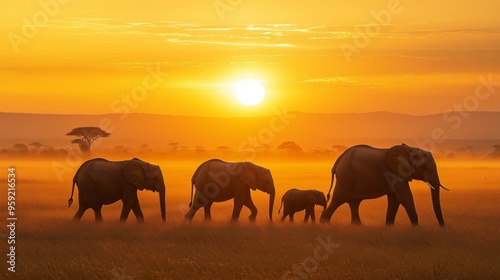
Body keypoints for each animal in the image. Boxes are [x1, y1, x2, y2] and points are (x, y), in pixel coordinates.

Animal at [320, 143, 450, 226]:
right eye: (423, 167)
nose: (442, 226)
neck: (408, 149)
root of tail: (337, 162)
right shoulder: (396, 172)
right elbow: (405, 197)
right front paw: (417, 227)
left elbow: (395, 200)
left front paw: (389, 227)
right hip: (346, 177)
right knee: (338, 199)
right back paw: (324, 223)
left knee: (354, 202)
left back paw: (358, 226)